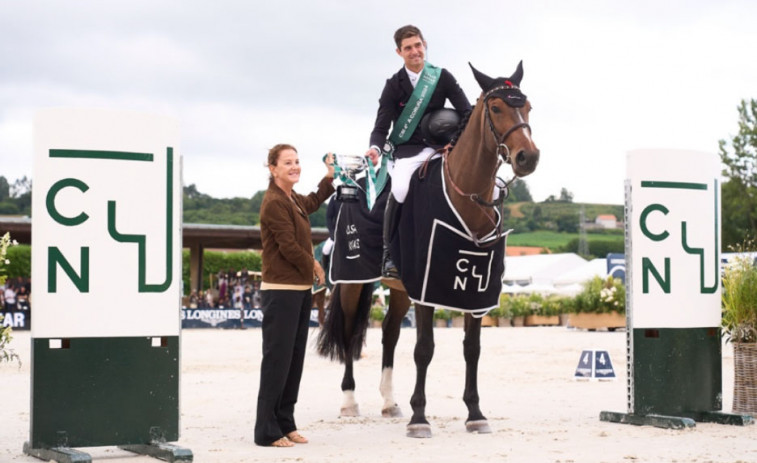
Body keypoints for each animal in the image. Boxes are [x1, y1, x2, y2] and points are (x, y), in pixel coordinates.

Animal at [318, 61, 536, 438]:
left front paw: (475, 414)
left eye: (529, 107)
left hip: (398, 289)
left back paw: (390, 403)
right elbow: (424, 349)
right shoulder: (426, 286)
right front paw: (419, 418)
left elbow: (472, 349)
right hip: (351, 282)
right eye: (496, 108)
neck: (465, 194)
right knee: (348, 333)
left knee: (389, 334)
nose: (528, 157)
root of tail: (348, 185)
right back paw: (349, 402)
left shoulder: (474, 287)